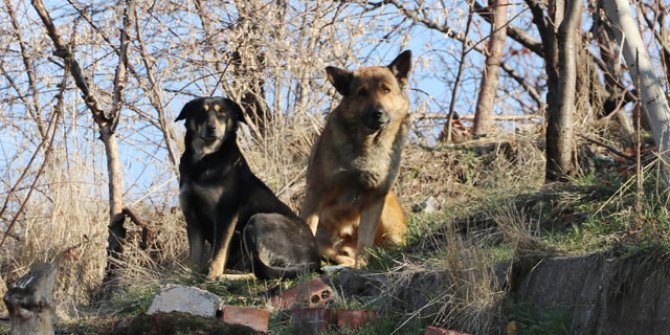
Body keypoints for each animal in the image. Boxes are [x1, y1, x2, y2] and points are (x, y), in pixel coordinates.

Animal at [177, 96, 322, 280]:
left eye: (222, 112)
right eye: (201, 112)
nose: (211, 128)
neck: (204, 159)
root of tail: (315, 261)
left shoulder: (226, 214)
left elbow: (219, 252)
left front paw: (211, 276)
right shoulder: (192, 216)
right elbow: (194, 256)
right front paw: (190, 277)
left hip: (258, 220)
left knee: (261, 273)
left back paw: (225, 277)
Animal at [302, 51, 412, 268]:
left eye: (386, 90)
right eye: (362, 93)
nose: (378, 113)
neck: (368, 145)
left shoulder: (375, 198)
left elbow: (365, 240)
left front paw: (361, 266)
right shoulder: (316, 192)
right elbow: (308, 227)